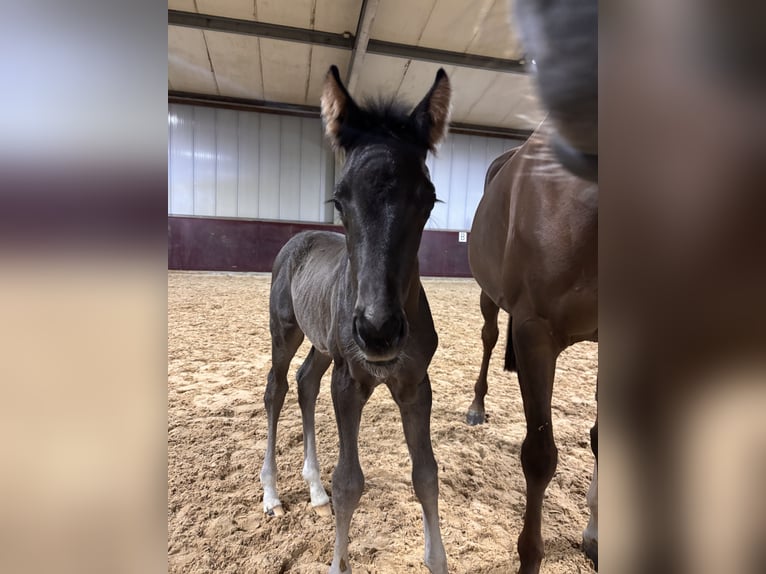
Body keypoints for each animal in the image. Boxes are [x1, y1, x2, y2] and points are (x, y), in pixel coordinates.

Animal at [259, 65, 451, 574]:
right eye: (340, 200)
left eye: (428, 199)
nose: (378, 331)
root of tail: (297, 240)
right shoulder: (349, 381)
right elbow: (349, 482)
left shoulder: (414, 383)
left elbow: (426, 474)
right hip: (285, 332)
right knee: (277, 388)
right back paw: (272, 494)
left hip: (322, 346)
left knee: (306, 381)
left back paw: (313, 488)